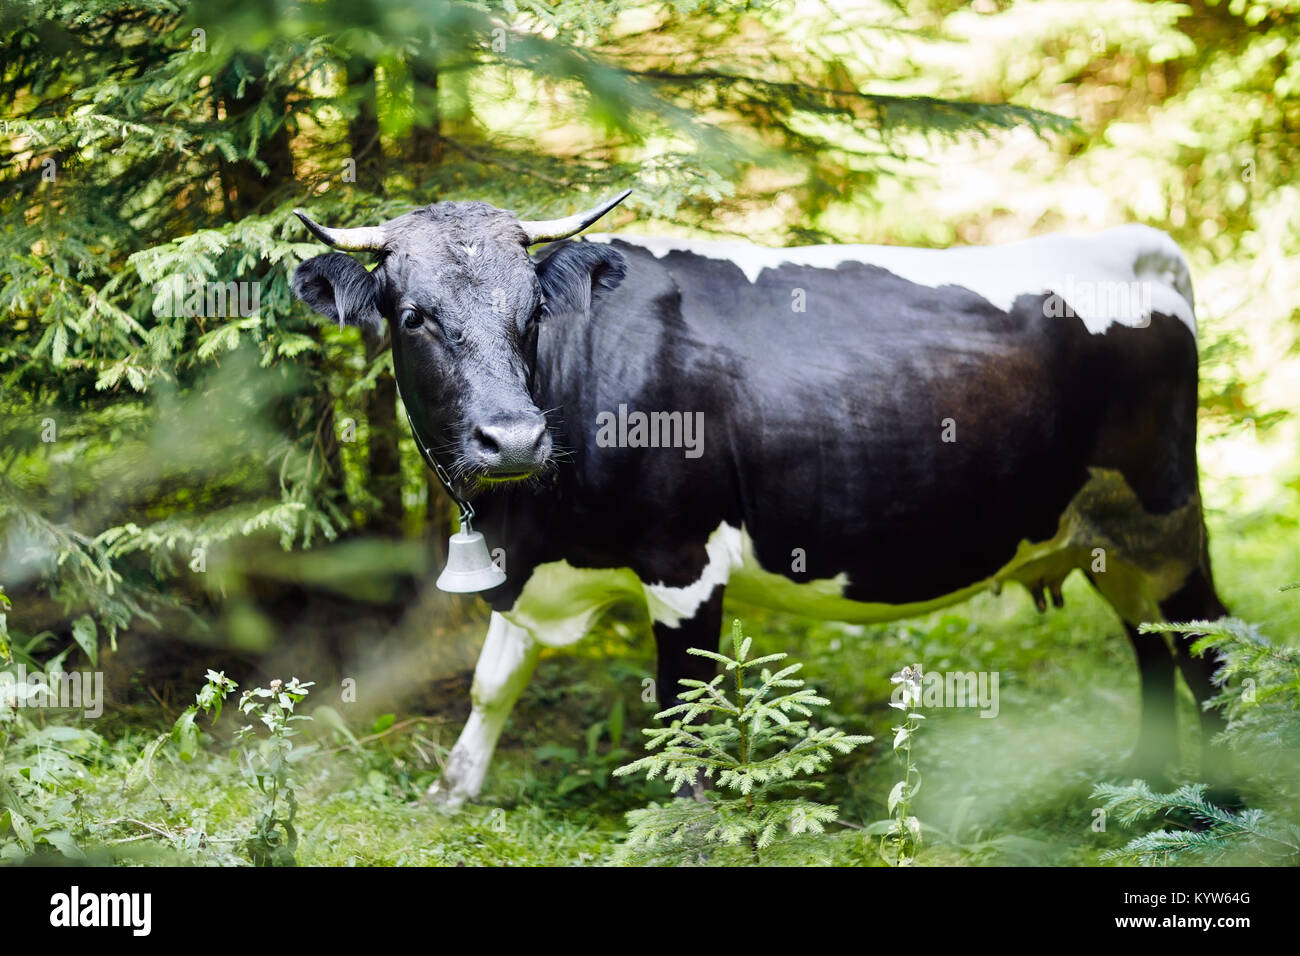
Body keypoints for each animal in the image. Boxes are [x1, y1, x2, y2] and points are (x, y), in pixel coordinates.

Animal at [292, 192, 1227, 806]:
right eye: (413, 315)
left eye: (532, 311)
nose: (513, 439)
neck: (530, 525)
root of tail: (1131, 245)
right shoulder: (532, 567)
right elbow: (491, 685)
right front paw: (451, 793)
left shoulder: (683, 560)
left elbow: (687, 709)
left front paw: (690, 825)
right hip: (1103, 537)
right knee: (1150, 646)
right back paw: (1149, 781)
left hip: (1166, 524)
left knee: (1206, 650)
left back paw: (1221, 799)